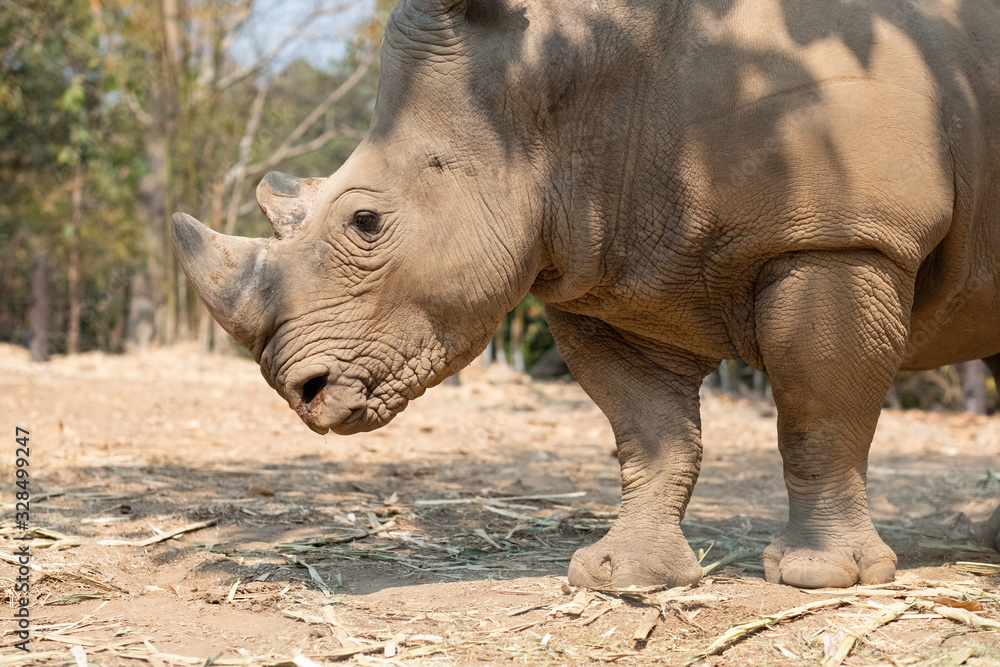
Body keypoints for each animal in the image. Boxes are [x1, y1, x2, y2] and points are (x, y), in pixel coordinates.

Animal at [172, 0, 1000, 589]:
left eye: (366, 222)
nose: (302, 390)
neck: (561, 84)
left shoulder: (840, 233)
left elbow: (817, 413)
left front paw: (821, 577)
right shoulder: (607, 261)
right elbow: (652, 433)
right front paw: (618, 576)